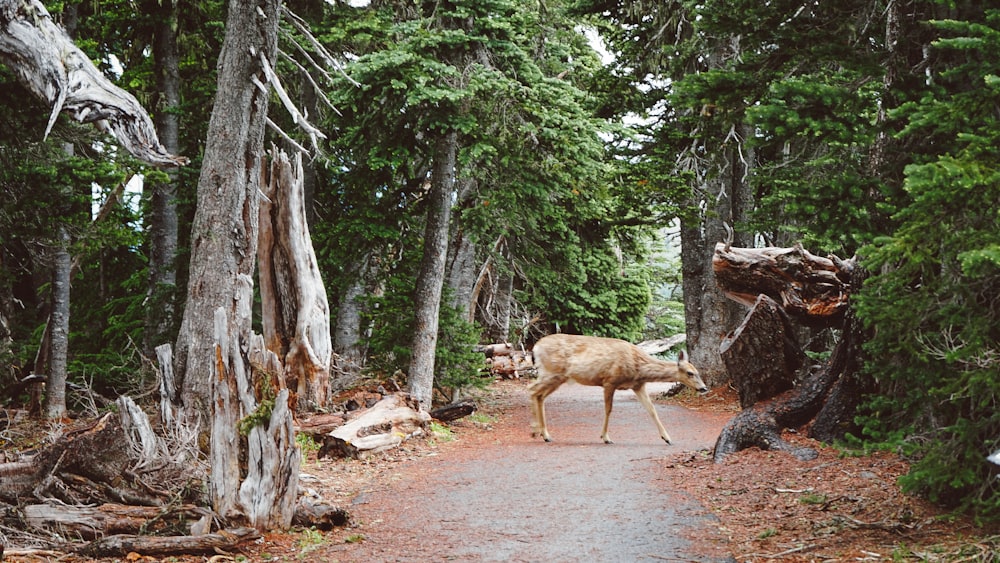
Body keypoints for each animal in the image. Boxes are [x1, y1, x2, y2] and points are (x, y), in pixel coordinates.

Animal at [528, 334, 708, 446]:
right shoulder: (610, 381)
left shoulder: (638, 385)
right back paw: (538, 432)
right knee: (532, 389)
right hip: (552, 372)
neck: (638, 367)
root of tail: (535, 348)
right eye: (690, 372)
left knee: (539, 395)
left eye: (698, 371)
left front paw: (667, 438)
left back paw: (543, 433)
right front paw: (606, 437)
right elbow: (608, 409)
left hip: (557, 377)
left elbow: (652, 410)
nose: (704, 388)